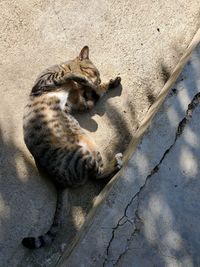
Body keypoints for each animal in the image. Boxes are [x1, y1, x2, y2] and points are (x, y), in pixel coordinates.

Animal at [21, 46, 122, 249]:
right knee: (96, 174)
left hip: (88, 145)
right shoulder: (44, 82)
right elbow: (66, 75)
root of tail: (58, 182)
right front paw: (82, 78)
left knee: (97, 172)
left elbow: (94, 95)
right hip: (83, 152)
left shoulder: (80, 103)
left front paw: (107, 84)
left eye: (98, 74)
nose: (98, 79)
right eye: (94, 71)